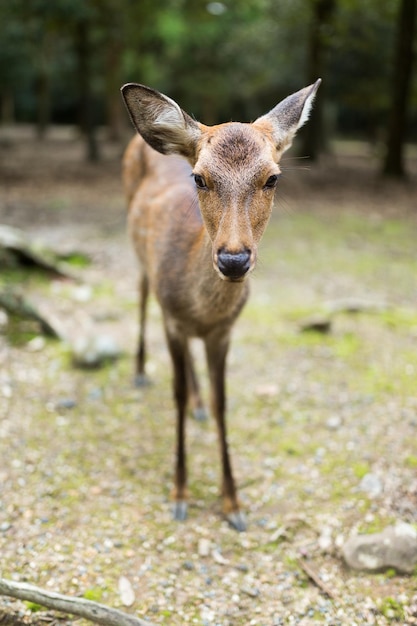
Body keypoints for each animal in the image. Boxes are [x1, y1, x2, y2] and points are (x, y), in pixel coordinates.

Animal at [118, 75, 320, 528]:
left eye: (272, 178)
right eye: (199, 178)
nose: (233, 258)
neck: (203, 310)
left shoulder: (224, 332)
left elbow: (223, 402)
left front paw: (233, 502)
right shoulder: (173, 320)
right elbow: (174, 396)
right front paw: (179, 493)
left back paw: (198, 405)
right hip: (139, 258)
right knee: (141, 295)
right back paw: (139, 371)